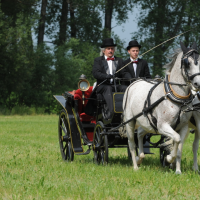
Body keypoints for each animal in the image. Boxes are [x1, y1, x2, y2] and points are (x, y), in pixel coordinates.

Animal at [122, 42, 200, 173]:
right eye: (187, 63)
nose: (198, 83)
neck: (176, 96)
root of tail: (135, 82)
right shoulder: (162, 126)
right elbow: (176, 139)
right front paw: (169, 159)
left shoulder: (183, 127)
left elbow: (179, 147)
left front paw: (177, 170)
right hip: (130, 122)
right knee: (132, 143)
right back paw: (135, 166)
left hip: (147, 122)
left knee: (140, 134)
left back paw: (140, 157)